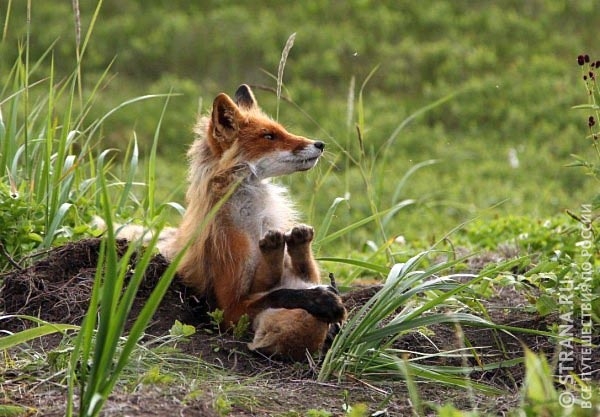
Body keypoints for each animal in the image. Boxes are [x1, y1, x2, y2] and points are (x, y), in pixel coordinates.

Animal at [170, 83, 346, 358]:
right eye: (269, 137)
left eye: (282, 130)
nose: (320, 144)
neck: (256, 225)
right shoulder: (229, 309)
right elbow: (277, 295)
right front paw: (318, 300)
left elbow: (297, 281)